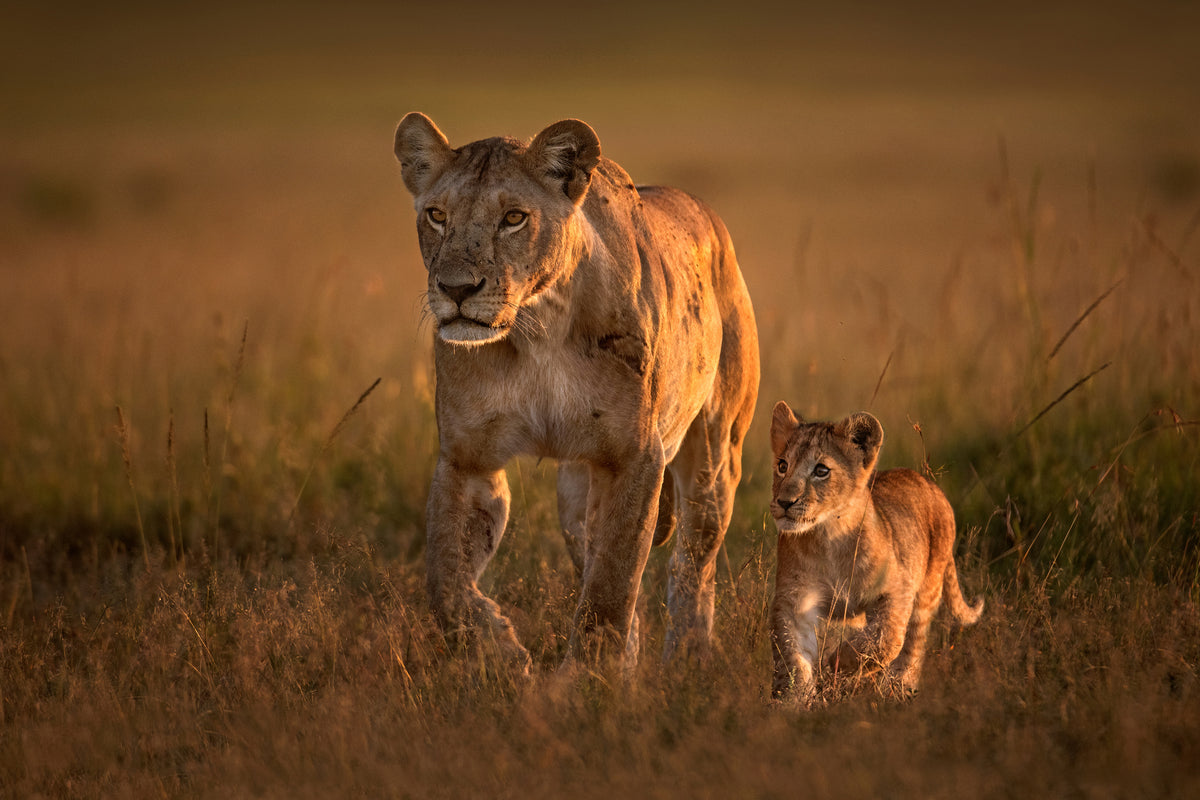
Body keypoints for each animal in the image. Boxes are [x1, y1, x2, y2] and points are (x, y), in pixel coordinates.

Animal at [393, 113, 760, 670]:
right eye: (436, 215)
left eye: (514, 218)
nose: (456, 289)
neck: (536, 329)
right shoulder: (467, 458)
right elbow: (446, 582)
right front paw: (503, 654)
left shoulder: (634, 456)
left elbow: (611, 586)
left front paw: (588, 680)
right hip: (574, 495)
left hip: (715, 457)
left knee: (694, 566)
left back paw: (687, 661)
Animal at [767, 401, 983, 699]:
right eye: (782, 465)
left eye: (821, 471)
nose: (785, 502)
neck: (828, 537)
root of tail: (928, 482)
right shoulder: (795, 600)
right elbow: (792, 655)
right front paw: (793, 699)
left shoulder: (898, 588)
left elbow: (886, 637)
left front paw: (838, 662)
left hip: (928, 589)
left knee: (913, 644)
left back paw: (898, 688)